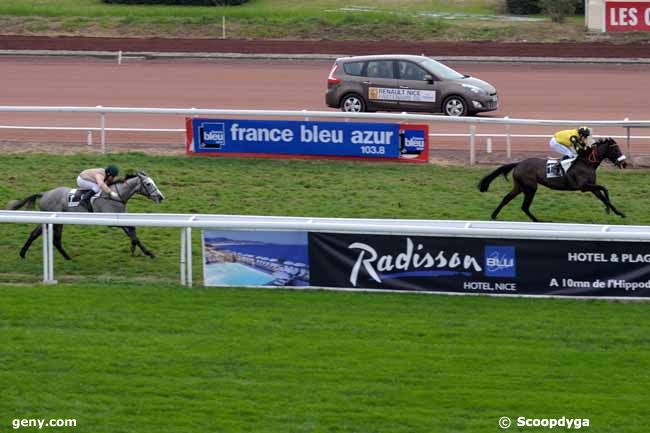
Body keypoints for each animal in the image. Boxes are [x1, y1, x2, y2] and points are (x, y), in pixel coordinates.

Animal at [9, 171, 165, 260]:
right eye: (148, 184)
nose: (161, 197)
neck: (116, 196)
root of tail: (44, 193)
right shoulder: (112, 220)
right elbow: (132, 232)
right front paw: (144, 251)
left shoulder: (122, 217)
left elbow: (133, 230)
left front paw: (143, 251)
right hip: (52, 219)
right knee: (47, 237)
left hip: (55, 220)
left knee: (45, 237)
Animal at [478, 137, 624, 221]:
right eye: (616, 149)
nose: (624, 163)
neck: (586, 163)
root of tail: (518, 163)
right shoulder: (584, 186)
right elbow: (604, 189)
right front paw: (610, 210)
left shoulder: (591, 186)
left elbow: (603, 196)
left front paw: (617, 212)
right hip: (530, 187)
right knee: (524, 206)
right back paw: (539, 221)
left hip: (519, 186)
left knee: (506, 199)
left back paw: (494, 215)